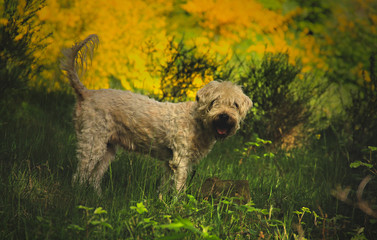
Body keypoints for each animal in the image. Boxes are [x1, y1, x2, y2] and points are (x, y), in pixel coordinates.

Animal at [60, 34, 251, 195]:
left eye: (235, 104)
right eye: (214, 101)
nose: (224, 116)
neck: (198, 122)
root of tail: (87, 93)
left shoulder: (170, 163)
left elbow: (165, 186)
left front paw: (161, 201)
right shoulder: (181, 161)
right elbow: (178, 188)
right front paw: (176, 208)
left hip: (108, 149)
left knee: (94, 176)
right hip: (93, 142)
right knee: (81, 174)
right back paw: (78, 194)